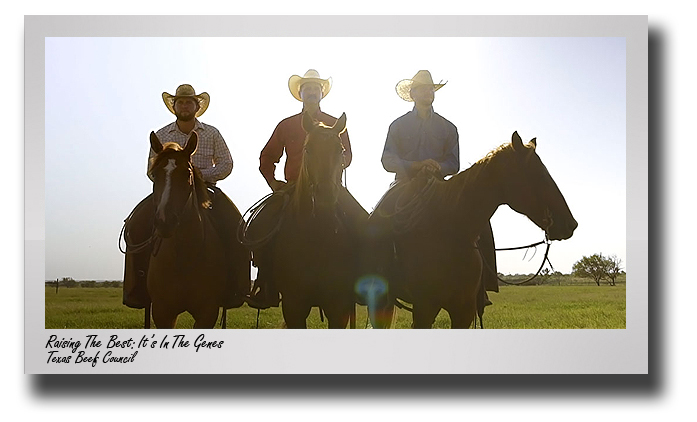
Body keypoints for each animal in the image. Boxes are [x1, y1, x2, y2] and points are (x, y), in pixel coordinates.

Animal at [145, 130, 232, 328]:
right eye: (155, 174)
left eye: (187, 173)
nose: (165, 221)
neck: (183, 255)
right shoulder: (162, 312)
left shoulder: (207, 312)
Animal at [270, 113, 362, 330]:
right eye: (308, 149)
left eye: (340, 150)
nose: (325, 194)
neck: (317, 235)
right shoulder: (293, 306)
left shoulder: (338, 307)